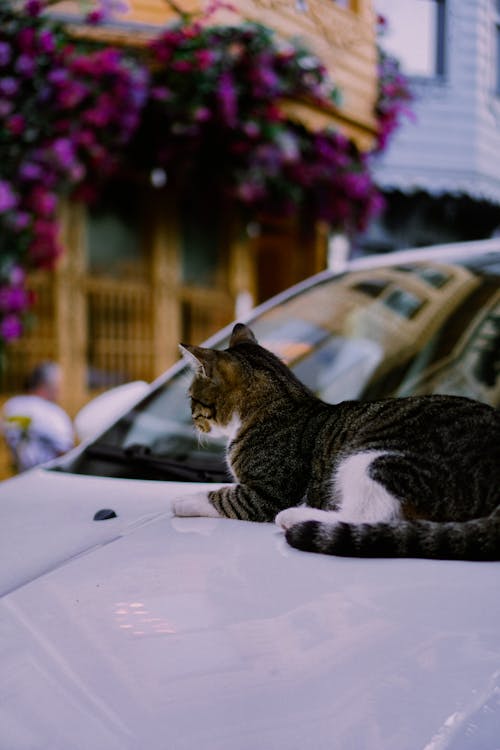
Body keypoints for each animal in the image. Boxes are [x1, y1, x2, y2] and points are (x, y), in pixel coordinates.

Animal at [173, 324, 500, 564]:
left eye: (191, 399)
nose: (192, 420)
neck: (278, 405)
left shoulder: (268, 493)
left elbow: (223, 496)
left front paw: (184, 500)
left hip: (377, 460)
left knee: (372, 515)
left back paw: (294, 517)